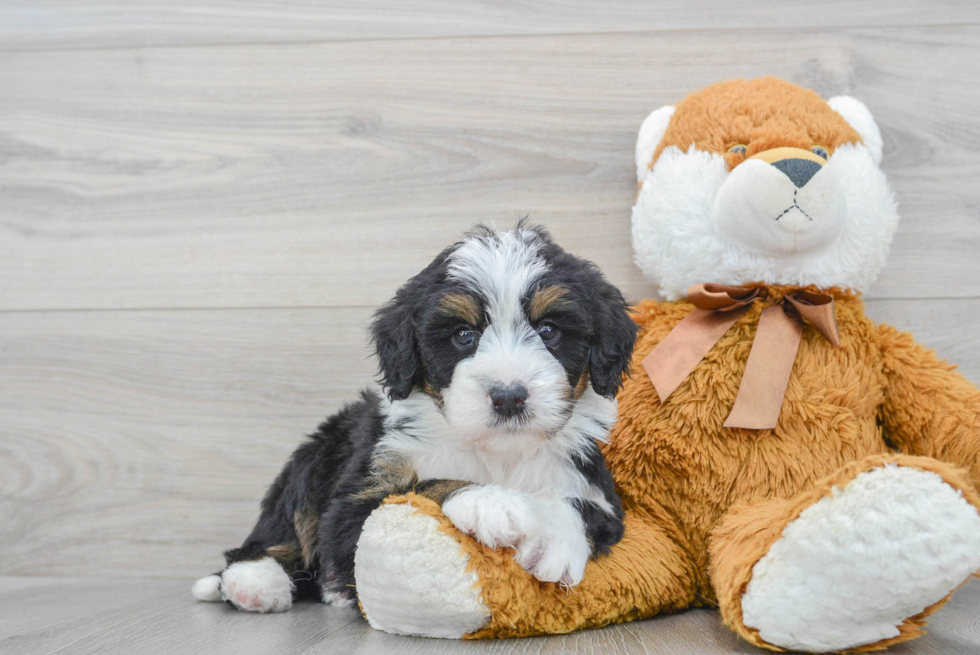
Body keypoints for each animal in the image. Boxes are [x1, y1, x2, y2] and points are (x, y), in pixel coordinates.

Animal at [193, 226, 636, 616]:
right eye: (463, 335)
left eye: (548, 330)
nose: (509, 396)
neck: (498, 453)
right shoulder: (358, 498)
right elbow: (421, 487)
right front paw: (491, 502)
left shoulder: (593, 485)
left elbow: (584, 507)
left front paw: (555, 540)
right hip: (313, 457)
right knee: (277, 534)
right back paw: (253, 582)